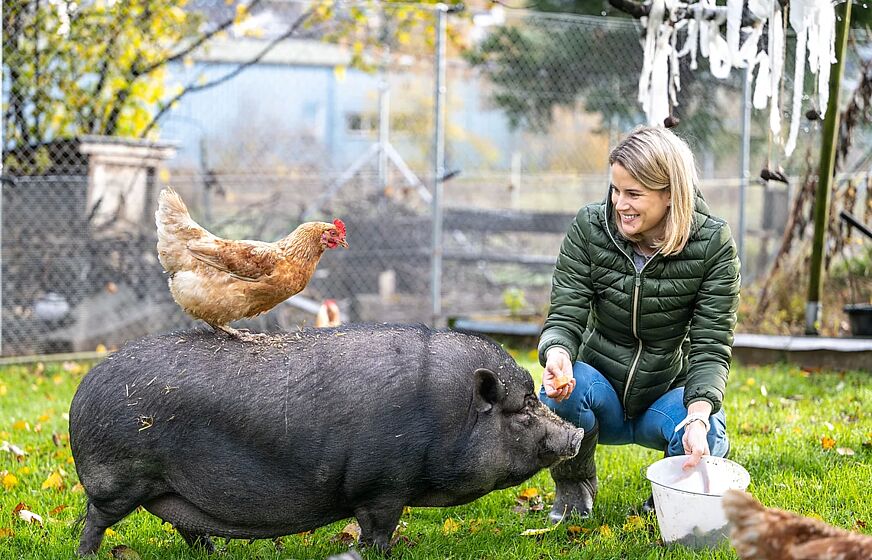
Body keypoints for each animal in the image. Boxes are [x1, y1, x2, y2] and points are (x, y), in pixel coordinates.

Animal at [70, 324, 584, 556]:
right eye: (522, 409)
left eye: (535, 398)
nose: (577, 432)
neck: (449, 415)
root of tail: (81, 393)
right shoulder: (382, 486)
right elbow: (379, 529)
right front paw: (384, 554)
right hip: (118, 480)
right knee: (96, 520)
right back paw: (87, 555)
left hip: (172, 488)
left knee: (187, 526)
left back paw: (215, 553)